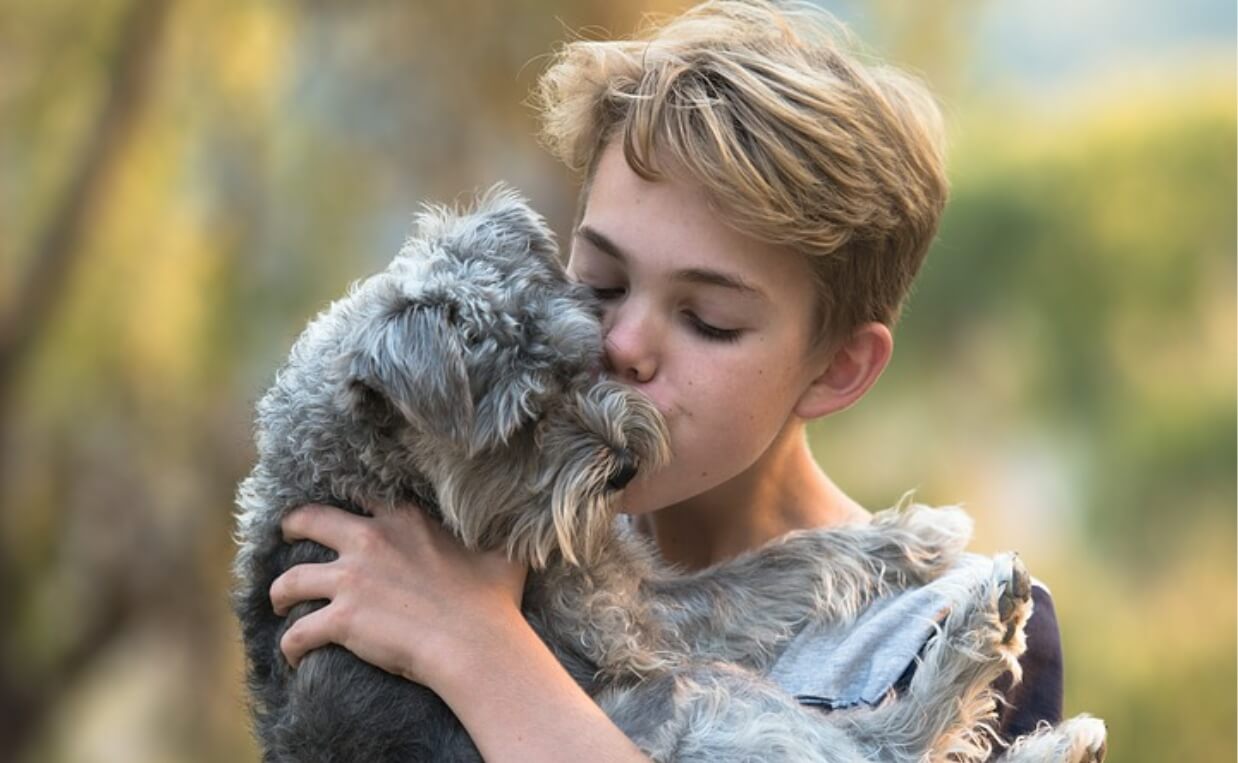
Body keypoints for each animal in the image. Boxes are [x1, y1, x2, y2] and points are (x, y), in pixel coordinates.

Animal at [230, 184, 1104, 763]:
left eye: (584, 357)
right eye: (522, 424)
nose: (623, 468)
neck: (368, 472)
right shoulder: (632, 619)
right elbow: (775, 567)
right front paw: (910, 533)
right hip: (699, 696)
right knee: (885, 742)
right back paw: (995, 631)